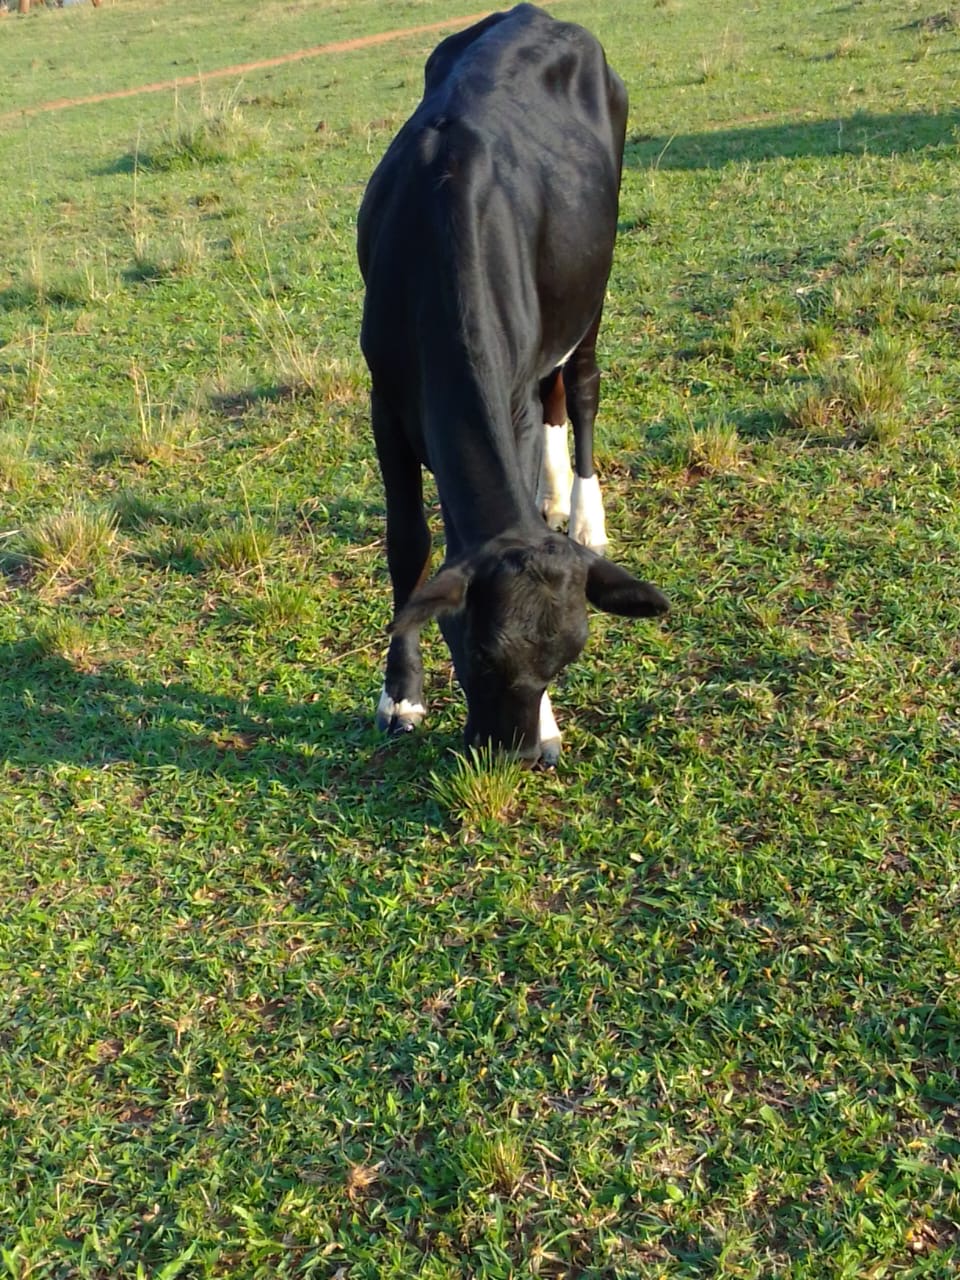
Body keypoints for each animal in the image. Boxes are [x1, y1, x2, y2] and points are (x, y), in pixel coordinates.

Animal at [357, 3, 668, 765]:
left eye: (565, 659)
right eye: (476, 651)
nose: (527, 754)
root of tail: (537, 14)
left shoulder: (514, 393)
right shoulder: (385, 400)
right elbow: (407, 542)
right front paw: (400, 695)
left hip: (593, 284)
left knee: (579, 387)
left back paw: (584, 514)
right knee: (558, 395)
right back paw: (557, 499)